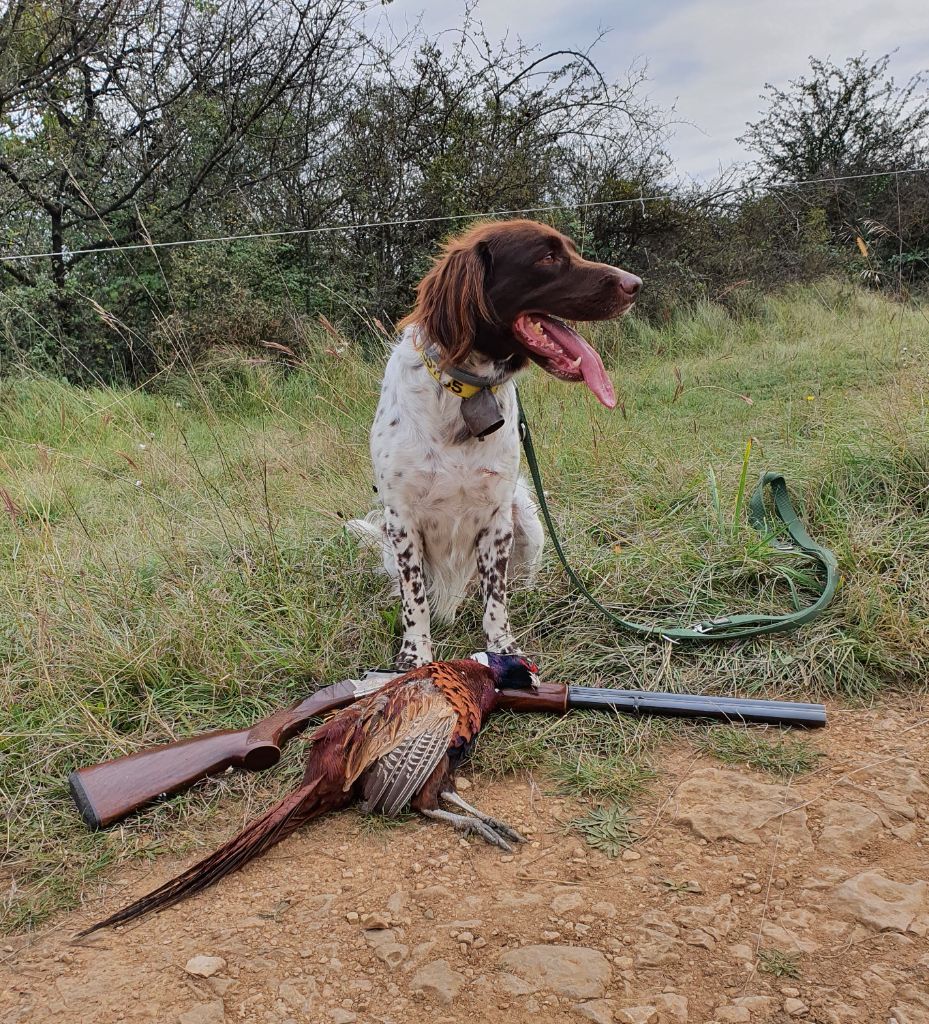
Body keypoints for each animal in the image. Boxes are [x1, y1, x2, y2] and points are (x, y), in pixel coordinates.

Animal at [348, 219, 639, 667]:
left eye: (570, 250)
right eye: (548, 257)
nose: (636, 284)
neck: (465, 393)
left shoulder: (497, 517)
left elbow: (495, 600)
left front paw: (504, 650)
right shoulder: (401, 519)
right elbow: (414, 600)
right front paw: (415, 656)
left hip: (528, 518)